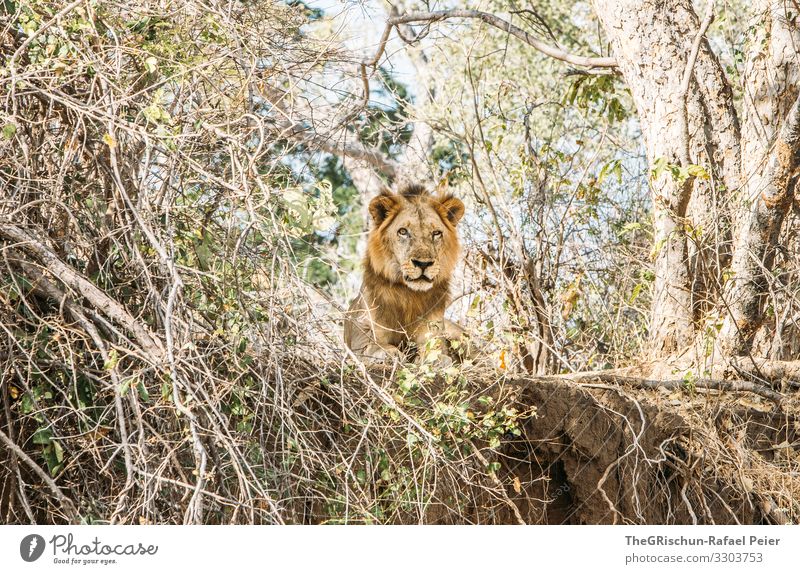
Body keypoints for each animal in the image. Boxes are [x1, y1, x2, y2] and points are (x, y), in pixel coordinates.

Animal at [342, 184, 466, 364]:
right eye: (403, 231)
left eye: (436, 233)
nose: (423, 264)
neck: (409, 295)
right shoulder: (362, 334)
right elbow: (374, 346)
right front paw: (389, 353)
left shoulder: (433, 333)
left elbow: (437, 352)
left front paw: (433, 359)